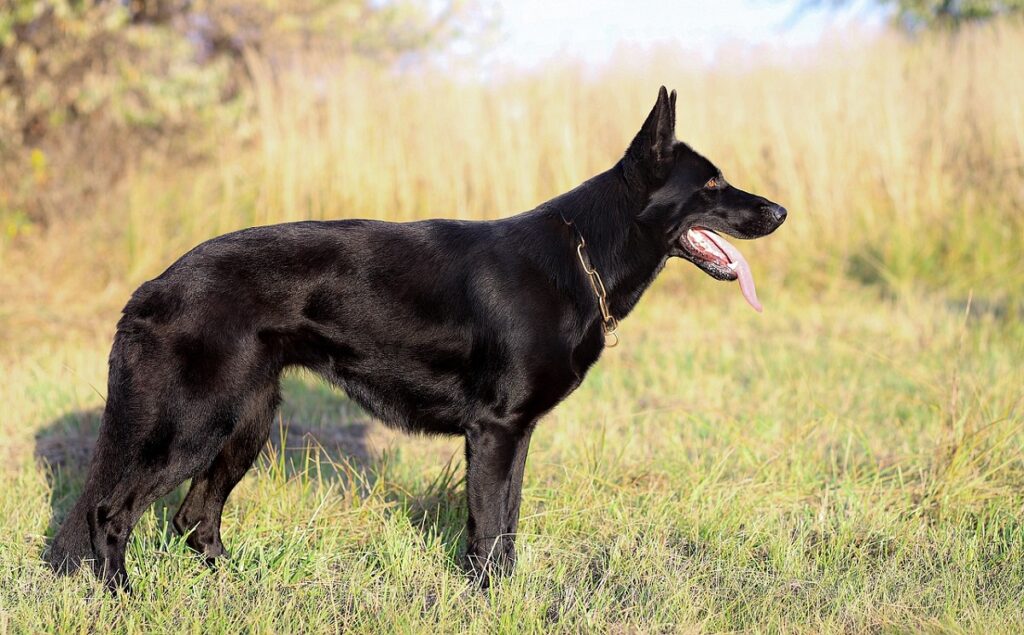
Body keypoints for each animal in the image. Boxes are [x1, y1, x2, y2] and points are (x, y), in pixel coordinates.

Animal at [46, 85, 782, 589]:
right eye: (713, 183)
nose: (779, 211)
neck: (582, 256)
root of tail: (150, 289)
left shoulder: (514, 437)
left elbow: (507, 525)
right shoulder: (494, 433)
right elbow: (488, 532)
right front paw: (490, 601)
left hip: (244, 427)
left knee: (192, 519)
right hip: (193, 426)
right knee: (112, 513)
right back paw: (124, 599)